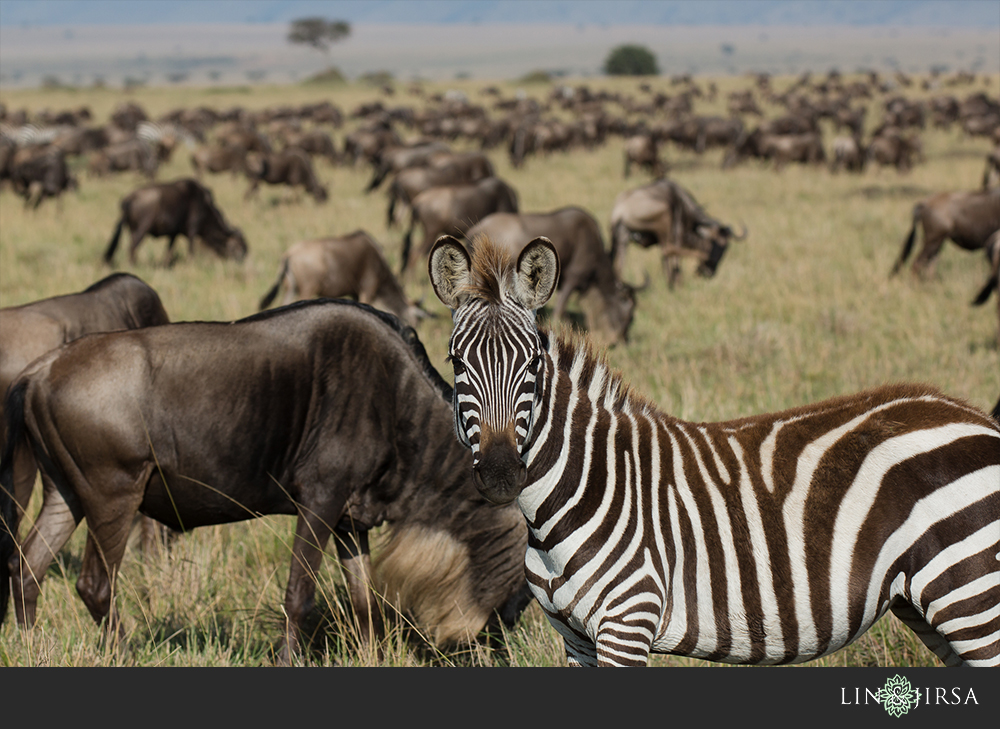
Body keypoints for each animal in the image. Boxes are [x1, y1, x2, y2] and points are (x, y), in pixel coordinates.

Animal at [428, 233, 1000, 664]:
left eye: (532, 365)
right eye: (456, 362)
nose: (502, 475)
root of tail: (974, 415)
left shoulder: (626, 624)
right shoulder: (577, 641)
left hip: (972, 598)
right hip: (930, 610)